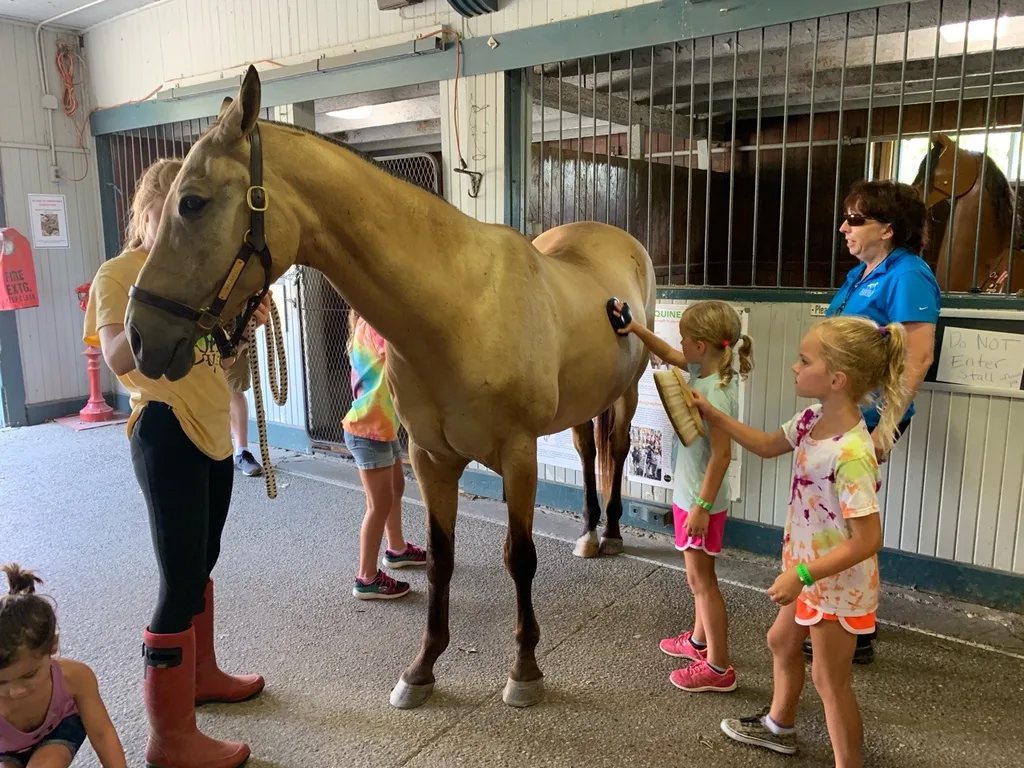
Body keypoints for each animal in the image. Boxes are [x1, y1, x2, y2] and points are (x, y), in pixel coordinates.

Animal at [124, 65, 656, 710]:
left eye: (193, 203)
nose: (139, 335)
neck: (458, 307)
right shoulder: (431, 458)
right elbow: (443, 560)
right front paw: (422, 668)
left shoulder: (519, 455)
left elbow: (519, 557)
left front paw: (524, 669)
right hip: (583, 403)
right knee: (585, 451)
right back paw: (587, 534)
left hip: (627, 394)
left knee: (616, 450)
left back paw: (613, 532)